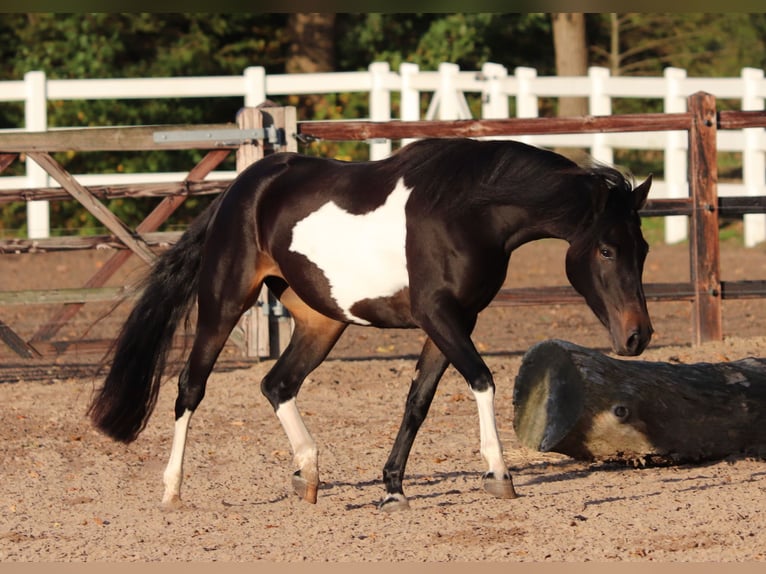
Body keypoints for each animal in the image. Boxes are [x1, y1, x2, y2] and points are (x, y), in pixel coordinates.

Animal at [88, 138, 656, 512]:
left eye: (644, 248)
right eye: (607, 250)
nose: (638, 336)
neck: (469, 211)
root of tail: (240, 190)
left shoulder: (454, 320)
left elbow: (418, 402)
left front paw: (393, 489)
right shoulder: (438, 314)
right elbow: (482, 380)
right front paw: (499, 475)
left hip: (321, 322)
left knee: (277, 384)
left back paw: (309, 473)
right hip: (224, 302)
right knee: (191, 387)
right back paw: (172, 489)